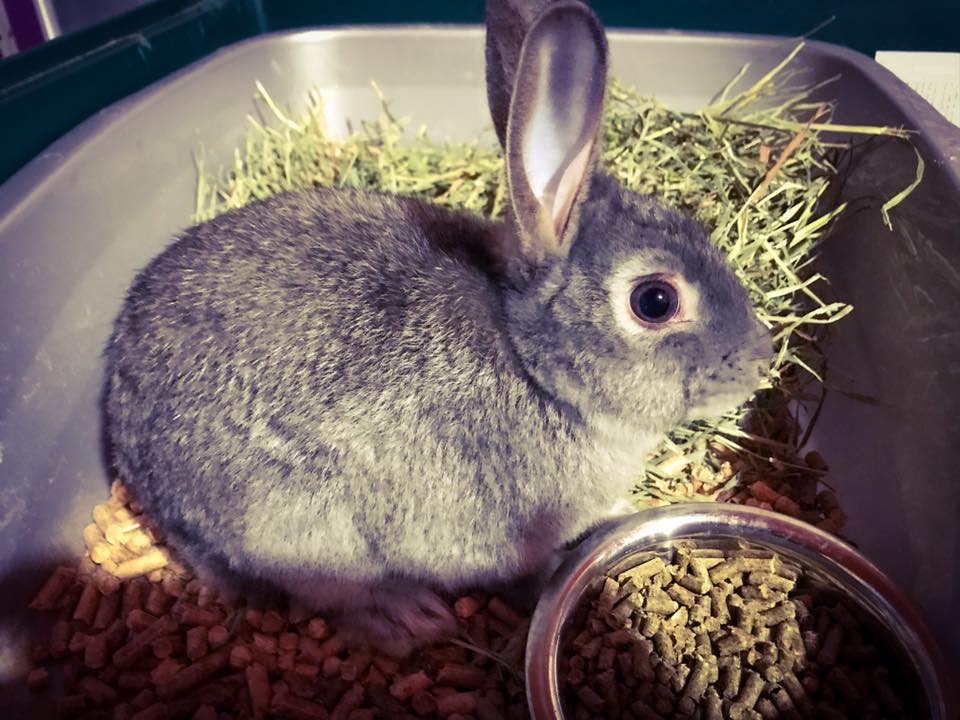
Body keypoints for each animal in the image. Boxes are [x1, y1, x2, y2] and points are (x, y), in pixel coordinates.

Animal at [103, 0, 772, 656]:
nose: (760, 360)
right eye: (655, 300)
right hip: (300, 528)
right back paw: (409, 618)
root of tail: (131, 449)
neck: (531, 361)